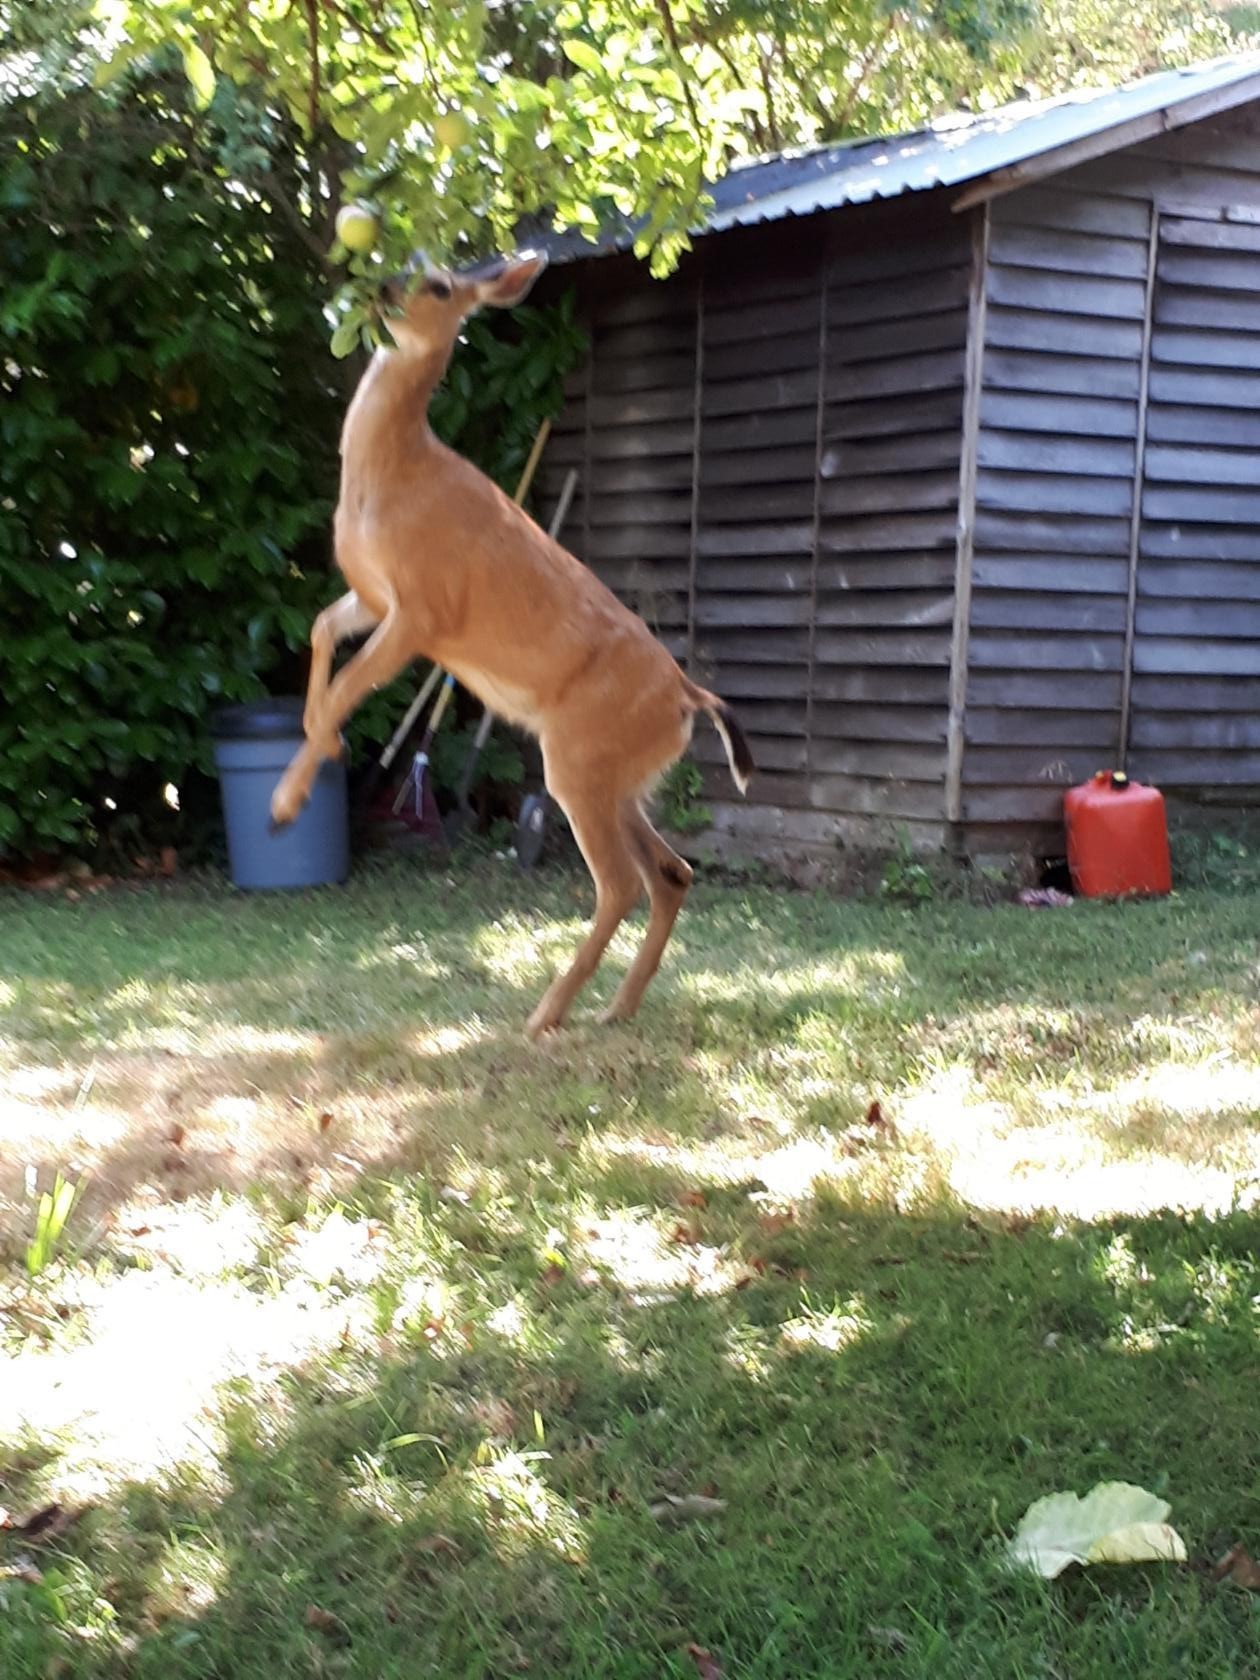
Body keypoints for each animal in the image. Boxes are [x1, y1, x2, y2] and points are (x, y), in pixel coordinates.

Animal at [272, 248, 756, 1034]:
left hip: (578, 758)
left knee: (621, 883)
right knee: (673, 872)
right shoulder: (374, 596)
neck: (391, 476)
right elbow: (318, 631)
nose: (381, 287)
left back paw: (547, 1015)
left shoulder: (424, 612)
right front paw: (320, 753)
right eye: (410, 263)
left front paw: (289, 799)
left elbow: (348, 685)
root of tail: (688, 696)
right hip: (621, 777)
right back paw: (613, 1009)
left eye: (440, 284)